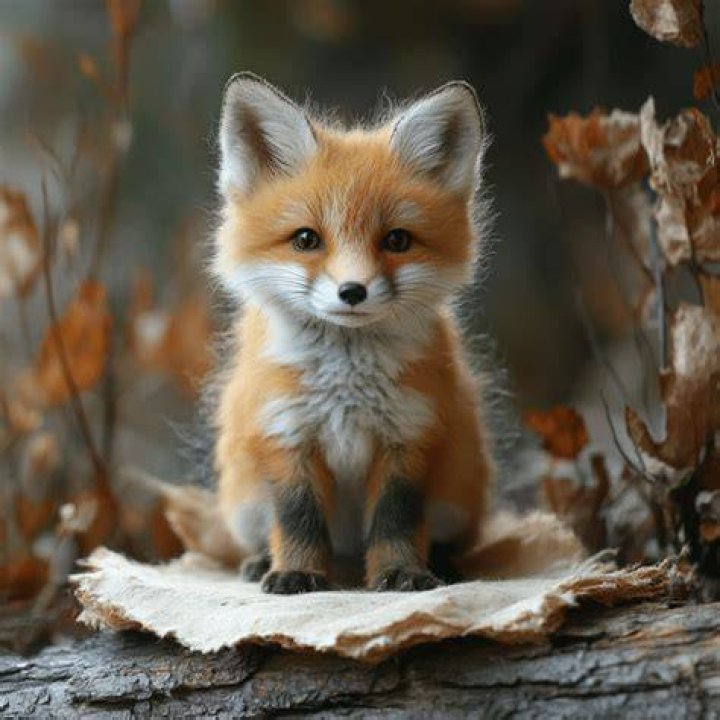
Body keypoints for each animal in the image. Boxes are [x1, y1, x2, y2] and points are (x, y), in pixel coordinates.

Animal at [212, 72, 495, 594]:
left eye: (397, 240)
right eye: (306, 239)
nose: (352, 291)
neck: (345, 384)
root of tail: (345, 553)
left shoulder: (409, 434)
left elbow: (396, 520)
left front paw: (402, 572)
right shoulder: (285, 433)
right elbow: (298, 519)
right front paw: (297, 572)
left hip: (456, 500)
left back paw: (442, 563)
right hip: (243, 504)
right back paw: (261, 561)